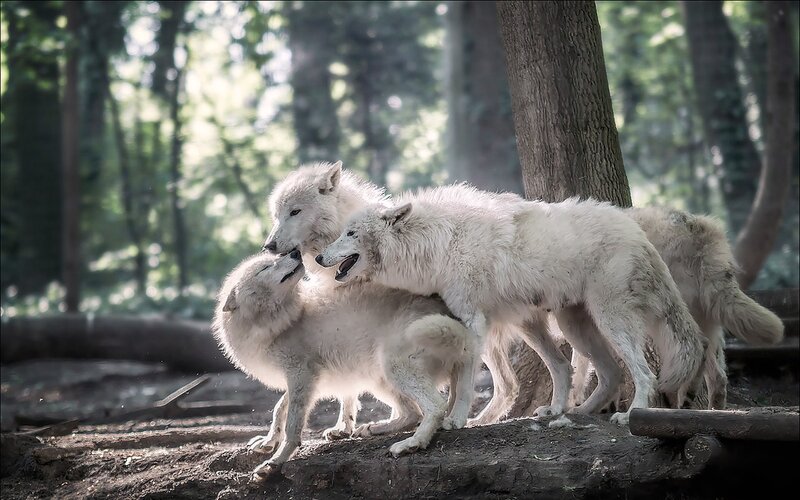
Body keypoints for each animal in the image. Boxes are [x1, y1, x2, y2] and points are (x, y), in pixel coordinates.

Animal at [212, 250, 472, 479]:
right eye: (266, 267)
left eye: (271, 262)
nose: (295, 252)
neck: (282, 322)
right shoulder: (305, 380)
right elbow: (279, 408)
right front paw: (268, 442)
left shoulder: (301, 375)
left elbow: (293, 427)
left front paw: (275, 462)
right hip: (379, 380)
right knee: (412, 413)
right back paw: (373, 429)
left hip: (391, 367)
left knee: (435, 407)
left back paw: (412, 443)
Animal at [317, 184, 707, 425]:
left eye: (350, 234)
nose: (319, 257)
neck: (441, 242)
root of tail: (638, 233)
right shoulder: (469, 323)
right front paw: (451, 418)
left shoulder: (472, 322)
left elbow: (464, 382)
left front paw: (454, 420)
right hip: (565, 325)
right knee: (593, 371)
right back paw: (569, 412)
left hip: (608, 320)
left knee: (643, 373)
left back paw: (630, 416)